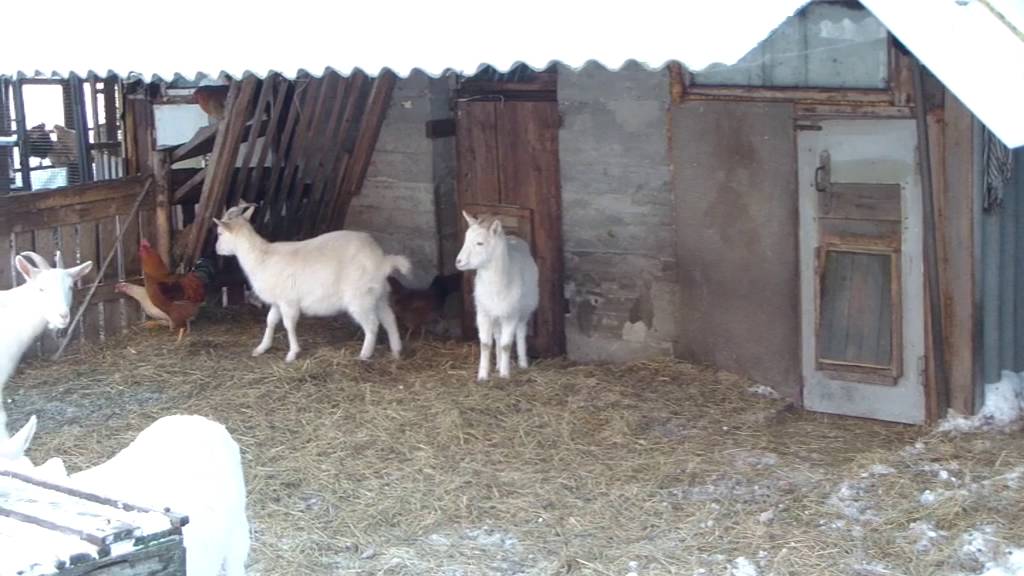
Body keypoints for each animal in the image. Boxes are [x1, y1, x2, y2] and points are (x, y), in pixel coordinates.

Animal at [214, 201, 410, 363]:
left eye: (220, 233)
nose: (216, 249)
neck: (262, 257)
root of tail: (383, 261)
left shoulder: (288, 301)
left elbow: (288, 325)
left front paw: (292, 353)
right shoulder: (278, 301)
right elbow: (270, 321)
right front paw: (262, 348)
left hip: (360, 297)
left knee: (372, 325)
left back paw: (364, 355)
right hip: (378, 295)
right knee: (389, 318)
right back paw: (396, 351)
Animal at [455, 211, 539, 380]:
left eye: (480, 243)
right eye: (466, 240)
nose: (458, 261)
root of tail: (514, 239)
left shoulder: (511, 314)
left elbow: (506, 345)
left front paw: (505, 375)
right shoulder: (483, 313)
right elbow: (486, 345)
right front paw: (482, 376)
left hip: (524, 310)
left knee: (520, 332)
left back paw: (522, 363)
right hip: (495, 314)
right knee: (498, 336)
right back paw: (499, 363)